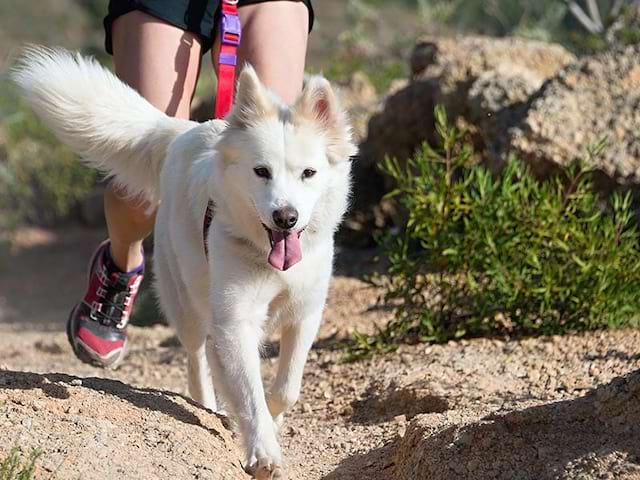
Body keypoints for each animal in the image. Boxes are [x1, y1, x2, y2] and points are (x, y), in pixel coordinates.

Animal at [11, 47, 356, 478]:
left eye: (309, 173)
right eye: (262, 172)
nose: (286, 217)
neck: (267, 257)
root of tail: (183, 132)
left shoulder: (304, 314)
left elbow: (284, 389)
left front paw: (271, 424)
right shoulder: (236, 318)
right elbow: (251, 392)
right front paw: (263, 452)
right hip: (187, 298)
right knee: (196, 358)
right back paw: (209, 404)